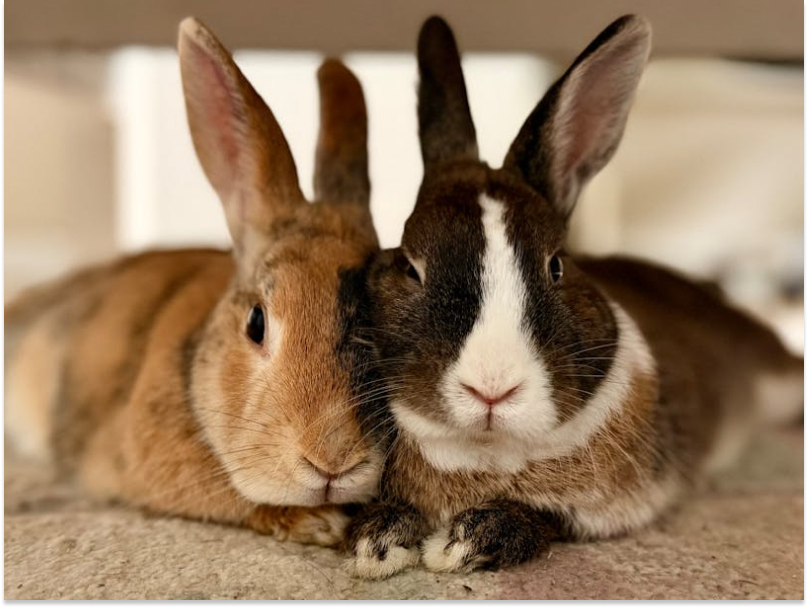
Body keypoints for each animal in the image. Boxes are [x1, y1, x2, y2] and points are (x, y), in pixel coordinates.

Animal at [343, 14, 804, 578]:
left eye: (556, 265)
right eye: (411, 265)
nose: (492, 389)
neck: (488, 450)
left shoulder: (607, 508)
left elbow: (545, 520)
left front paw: (461, 545)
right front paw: (377, 544)